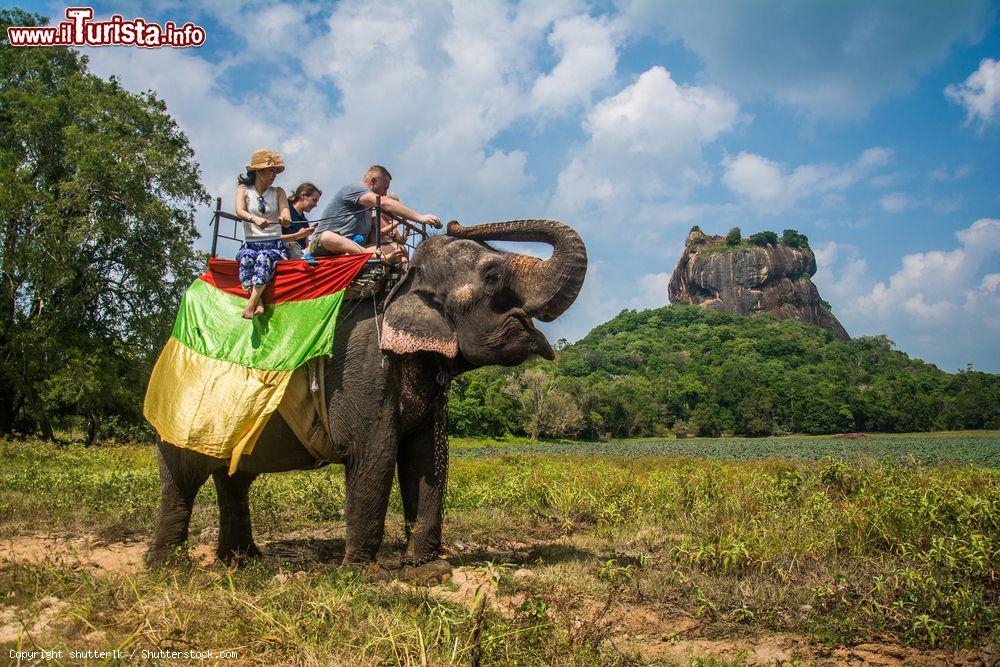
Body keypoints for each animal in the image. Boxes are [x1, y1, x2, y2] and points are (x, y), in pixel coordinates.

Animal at [146, 220, 588, 584]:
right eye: (493, 277)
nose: (453, 222)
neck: (400, 282)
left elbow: (426, 457)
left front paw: (429, 570)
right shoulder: (363, 368)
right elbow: (373, 453)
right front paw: (362, 575)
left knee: (233, 477)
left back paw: (242, 561)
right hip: (184, 402)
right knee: (183, 476)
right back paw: (168, 569)